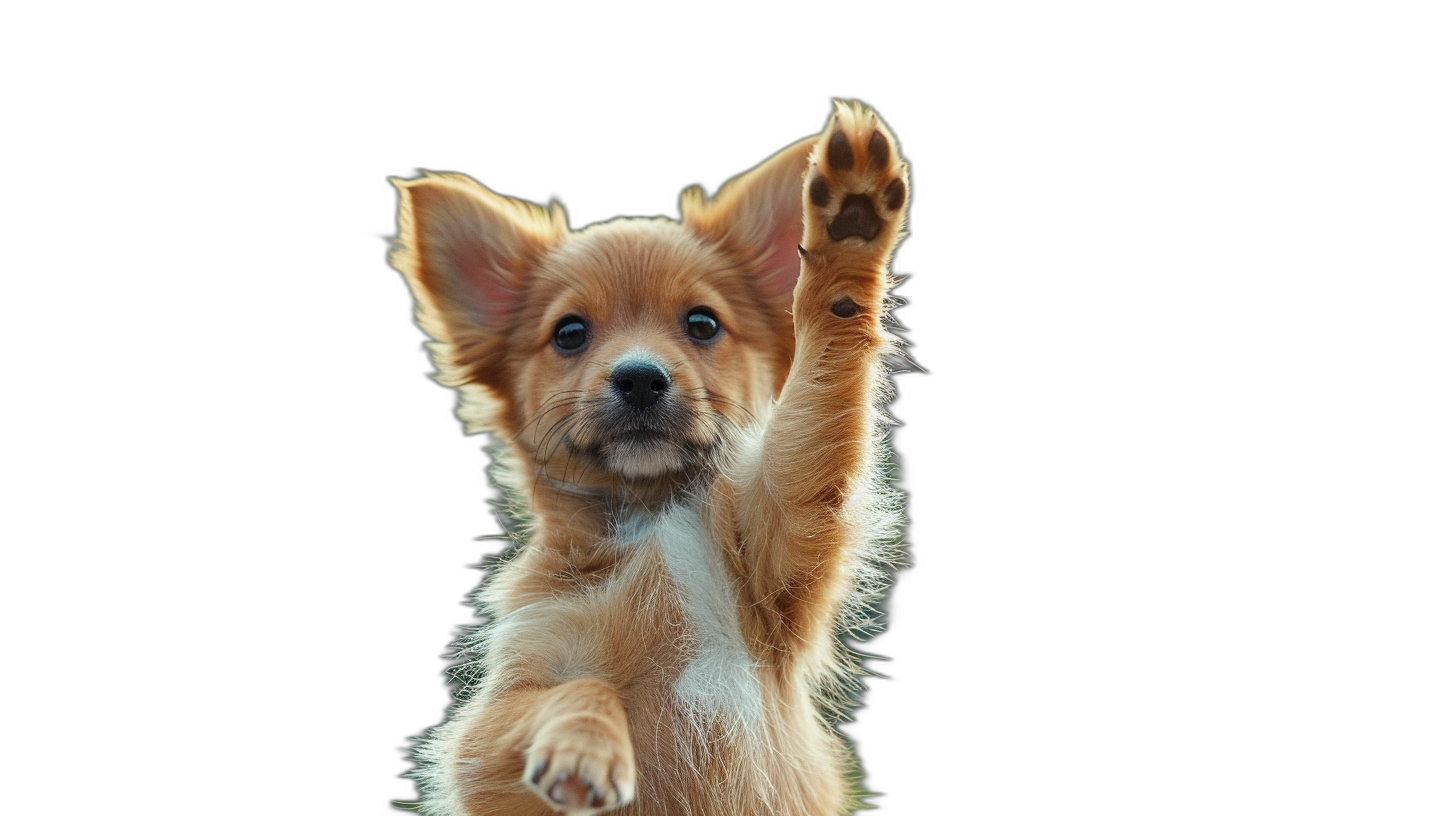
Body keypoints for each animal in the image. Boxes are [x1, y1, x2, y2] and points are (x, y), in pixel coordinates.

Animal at [387, 99, 908, 810]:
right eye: (569, 333)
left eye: (702, 324)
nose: (639, 377)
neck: (646, 518)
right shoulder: (497, 714)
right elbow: (584, 686)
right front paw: (584, 747)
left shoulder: (785, 531)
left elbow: (820, 400)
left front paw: (849, 236)